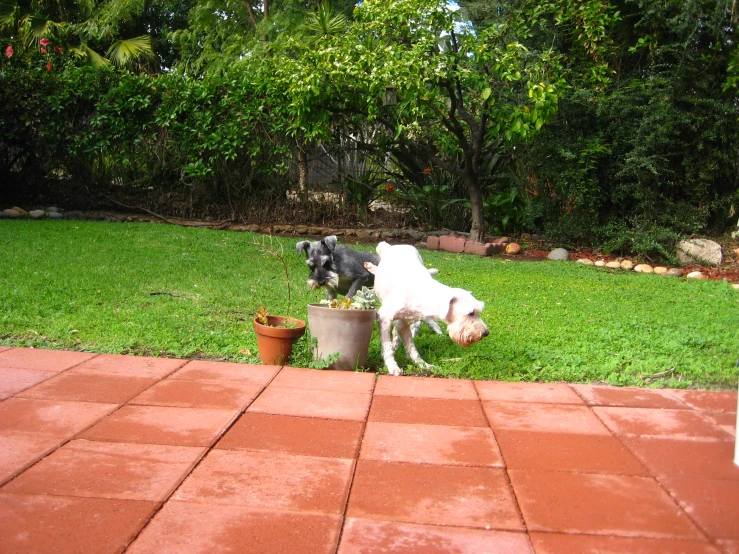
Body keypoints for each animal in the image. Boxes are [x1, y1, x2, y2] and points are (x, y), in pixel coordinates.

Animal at [366, 242, 492, 376]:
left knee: (396, 331)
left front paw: (423, 365)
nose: (486, 333)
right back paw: (370, 266)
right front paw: (392, 367)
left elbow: (411, 348)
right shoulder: (383, 318)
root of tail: (396, 246)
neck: (423, 293)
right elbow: (387, 347)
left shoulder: (404, 323)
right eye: (471, 313)